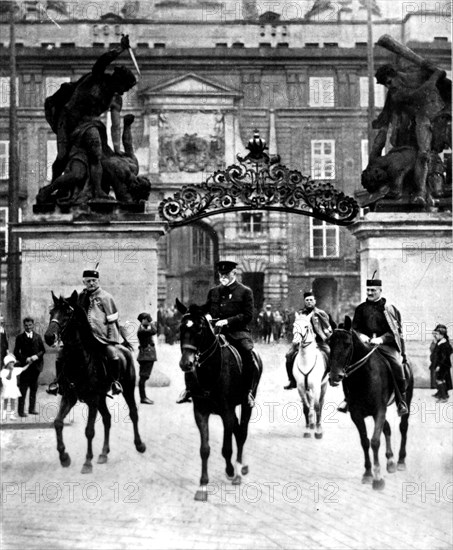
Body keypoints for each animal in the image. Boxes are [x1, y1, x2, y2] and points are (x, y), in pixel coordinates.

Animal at [45, 292, 146, 476]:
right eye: (51, 312)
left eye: (68, 313)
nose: (49, 337)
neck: (78, 361)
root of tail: (123, 348)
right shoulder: (69, 397)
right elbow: (58, 422)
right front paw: (64, 457)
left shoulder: (92, 399)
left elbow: (89, 431)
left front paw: (87, 462)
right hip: (101, 398)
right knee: (107, 418)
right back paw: (104, 453)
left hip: (127, 389)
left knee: (133, 413)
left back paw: (139, 445)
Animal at [175, 300, 264, 502]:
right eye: (181, 328)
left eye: (199, 329)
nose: (186, 364)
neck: (210, 369)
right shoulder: (200, 412)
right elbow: (204, 449)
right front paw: (202, 485)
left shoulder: (226, 411)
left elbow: (226, 448)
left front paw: (231, 471)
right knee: (238, 430)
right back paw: (242, 466)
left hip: (247, 402)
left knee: (242, 432)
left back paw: (238, 470)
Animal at [328, 316, 414, 494]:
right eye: (329, 342)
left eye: (347, 343)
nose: (334, 376)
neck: (363, 376)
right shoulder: (357, 414)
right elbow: (365, 441)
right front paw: (368, 473)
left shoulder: (379, 411)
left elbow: (375, 441)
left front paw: (378, 479)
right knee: (387, 428)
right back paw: (390, 461)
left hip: (405, 401)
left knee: (403, 427)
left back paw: (401, 461)